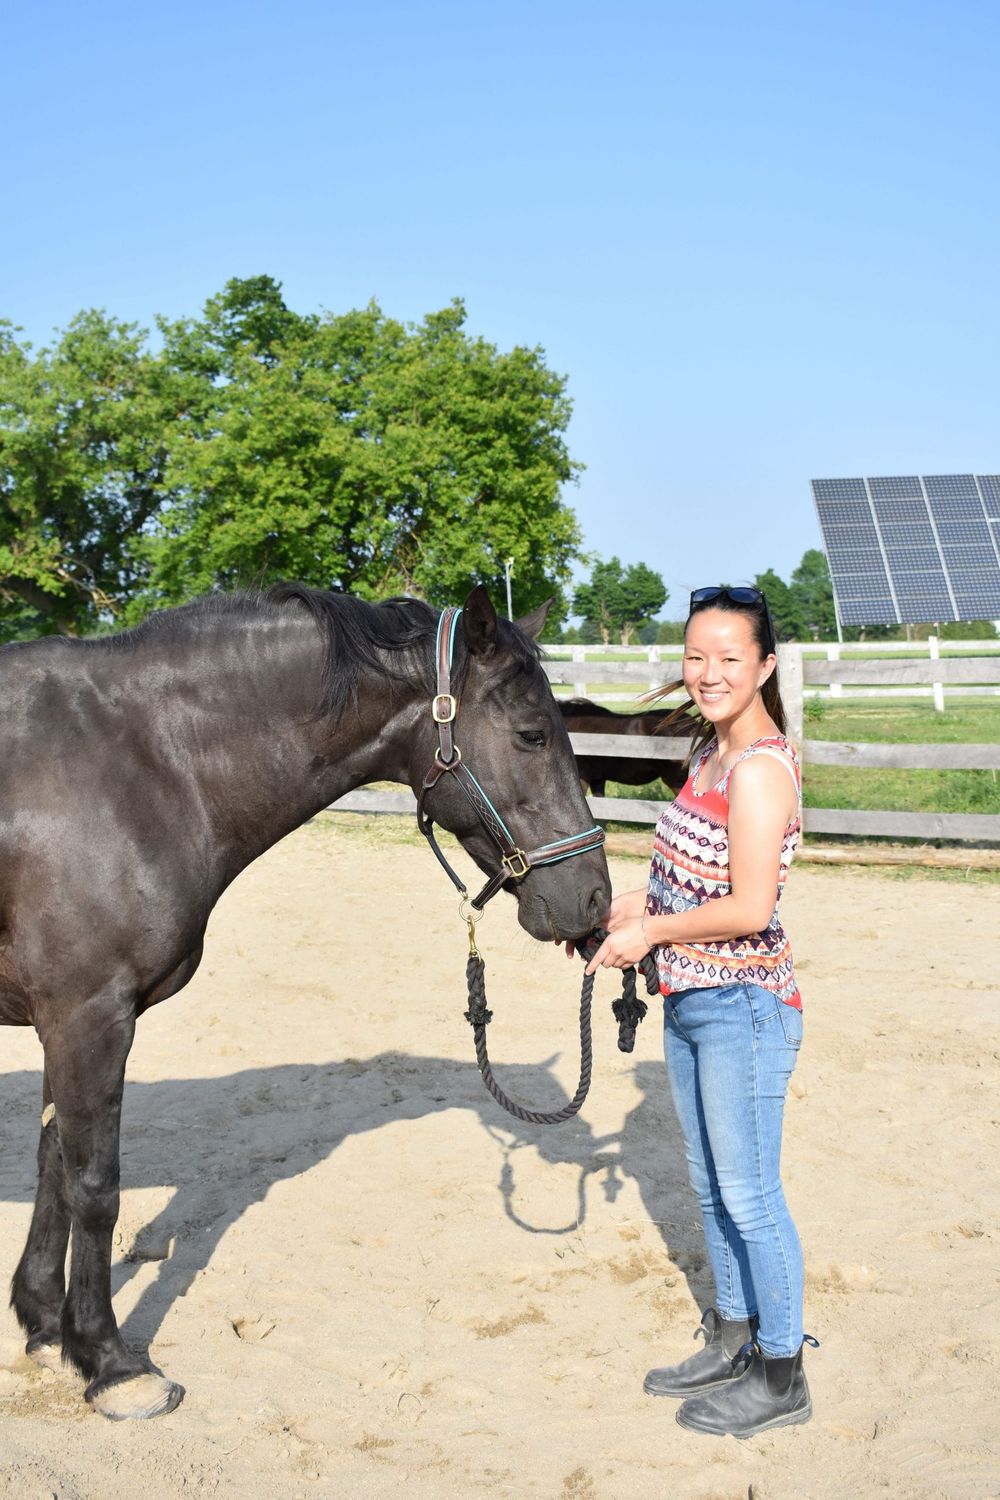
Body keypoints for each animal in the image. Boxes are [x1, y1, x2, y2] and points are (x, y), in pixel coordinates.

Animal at [0, 582, 611, 1420]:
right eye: (531, 734)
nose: (594, 901)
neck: (135, 766)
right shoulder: (87, 1016)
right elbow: (94, 1186)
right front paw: (111, 1363)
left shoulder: (64, 1023)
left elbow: (54, 1164)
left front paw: (40, 1325)